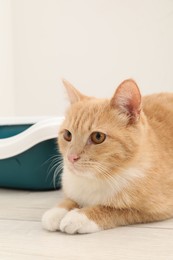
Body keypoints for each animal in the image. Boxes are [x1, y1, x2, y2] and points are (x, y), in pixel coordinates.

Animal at [41, 78, 173, 234]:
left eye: (98, 137)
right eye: (67, 135)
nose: (71, 157)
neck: (97, 178)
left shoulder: (155, 210)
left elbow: (115, 210)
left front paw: (79, 216)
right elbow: (70, 199)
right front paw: (57, 212)